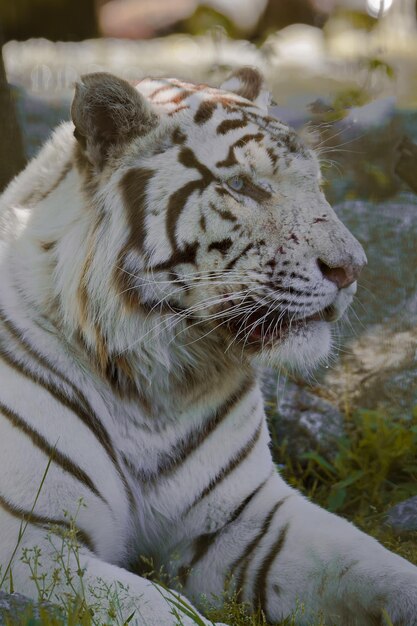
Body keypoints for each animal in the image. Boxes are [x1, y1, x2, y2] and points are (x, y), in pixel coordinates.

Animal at [0, 68, 416, 624]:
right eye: (242, 186)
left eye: (317, 184)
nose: (352, 269)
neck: (154, 387)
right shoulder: (30, 542)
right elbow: (162, 611)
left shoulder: (245, 520)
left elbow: (371, 562)